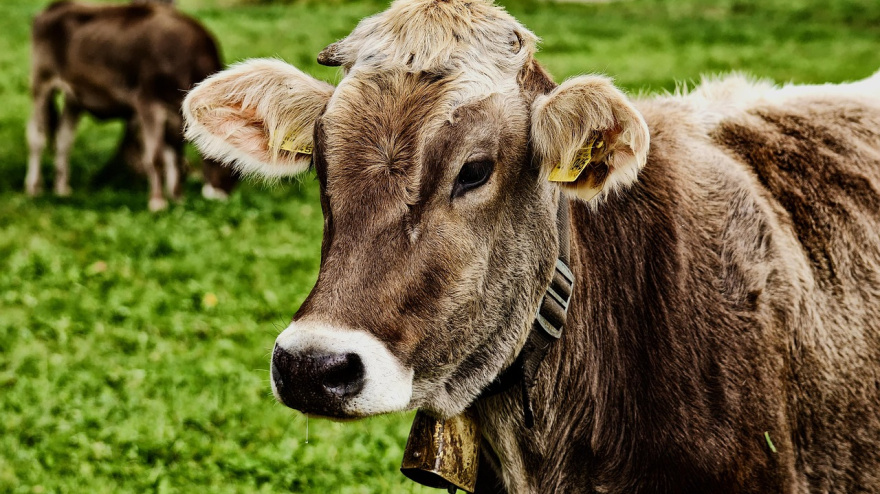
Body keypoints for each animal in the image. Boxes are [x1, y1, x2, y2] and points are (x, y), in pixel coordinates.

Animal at [25, 0, 237, 211]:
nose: (223, 194)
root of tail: (55, 6)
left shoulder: (175, 116)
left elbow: (175, 158)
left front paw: (177, 198)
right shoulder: (148, 104)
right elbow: (156, 157)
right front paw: (158, 202)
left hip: (74, 97)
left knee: (64, 139)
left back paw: (62, 188)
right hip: (42, 83)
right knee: (37, 136)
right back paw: (34, 187)